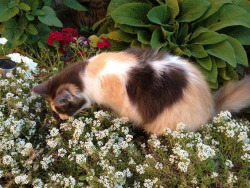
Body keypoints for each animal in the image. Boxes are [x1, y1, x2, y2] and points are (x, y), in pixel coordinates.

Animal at [32, 47, 250, 134]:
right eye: (56, 111)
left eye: (62, 109)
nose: (61, 119)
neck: (88, 75)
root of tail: (211, 108)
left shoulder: (125, 109)